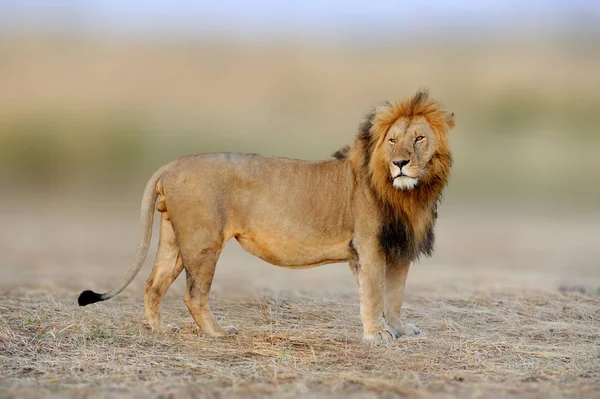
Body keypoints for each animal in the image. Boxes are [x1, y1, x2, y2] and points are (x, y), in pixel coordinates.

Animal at [79, 90, 454, 344]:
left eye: (419, 138)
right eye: (392, 141)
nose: (400, 163)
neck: (410, 194)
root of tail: (174, 163)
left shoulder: (400, 250)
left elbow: (395, 295)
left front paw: (400, 329)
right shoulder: (369, 247)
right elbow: (375, 294)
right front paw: (377, 334)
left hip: (175, 238)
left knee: (153, 285)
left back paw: (158, 329)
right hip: (203, 242)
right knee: (193, 295)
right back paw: (218, 333)